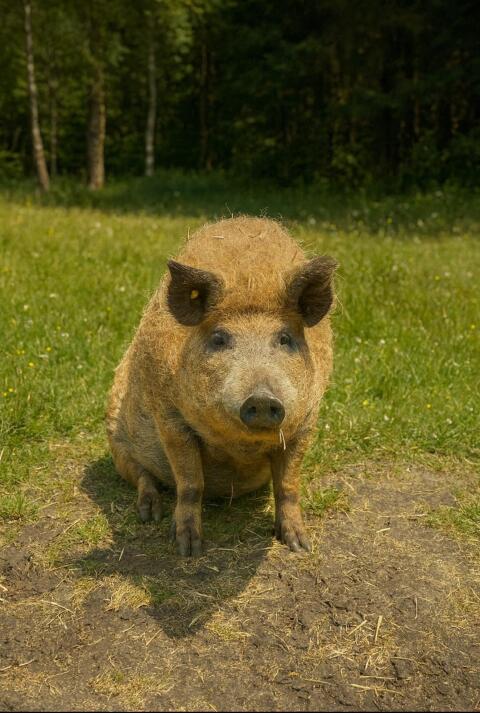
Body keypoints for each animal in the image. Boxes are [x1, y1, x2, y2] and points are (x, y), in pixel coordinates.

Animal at [106, 216, 337, 556]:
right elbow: (191, 484)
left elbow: (288, 485)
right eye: (219, 339)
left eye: (285, 338)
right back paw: (150, 513)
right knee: (141, 475)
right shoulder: (169, 417)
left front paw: (300, 546)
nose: (262, 398)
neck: (237, 447)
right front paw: (187, 549)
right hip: (115, 439)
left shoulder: (307, 422)